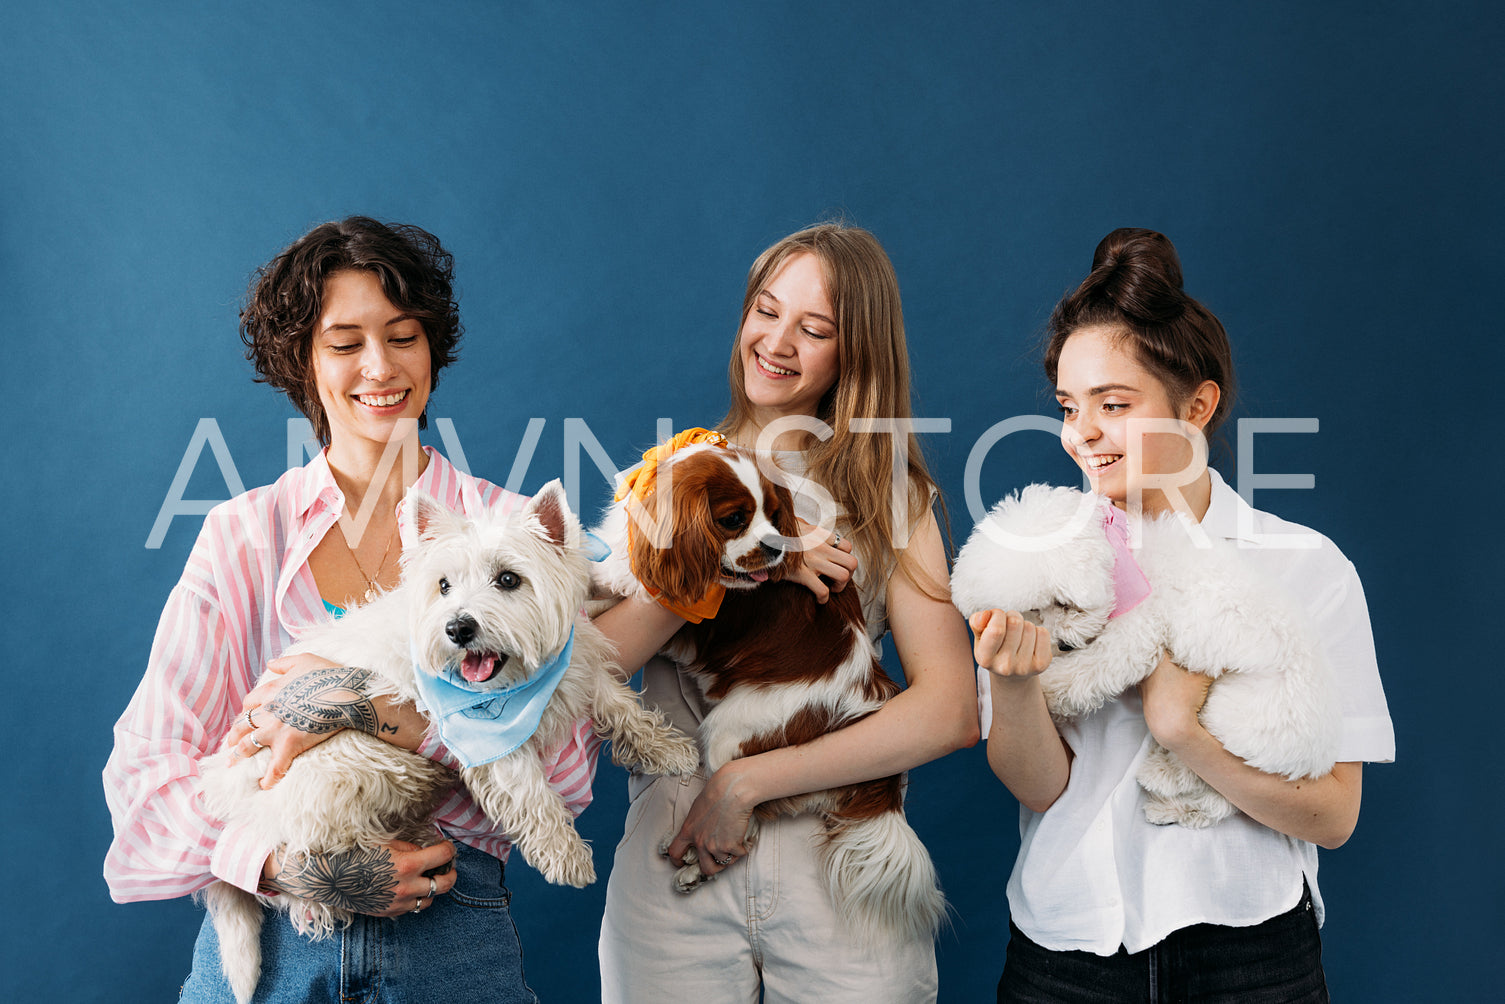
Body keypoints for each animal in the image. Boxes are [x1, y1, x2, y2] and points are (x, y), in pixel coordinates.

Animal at [197, 481, 695, 1004]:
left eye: (509, 579)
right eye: (443, 586)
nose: (458, 628)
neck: (516, 680)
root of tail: (229, 801)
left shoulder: (576, 667)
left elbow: (619, 706)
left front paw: (669, 750)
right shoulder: (483, 736)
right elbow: (531, 791)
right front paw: (566, 855)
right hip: (330, 780)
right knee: (297, 853)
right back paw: (333, 893)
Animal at [951, 484, 1342, 824]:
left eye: (1063, 602)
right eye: (1031, 613)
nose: (1062, 646)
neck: (1120, 554)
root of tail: (1317, 759)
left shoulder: (1132, 635)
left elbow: (1083, 674)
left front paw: (1046, 690)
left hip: (1236, 712)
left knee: (1209, 773)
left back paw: (1162, 775)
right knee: (1219, 801)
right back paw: (1170, 805)